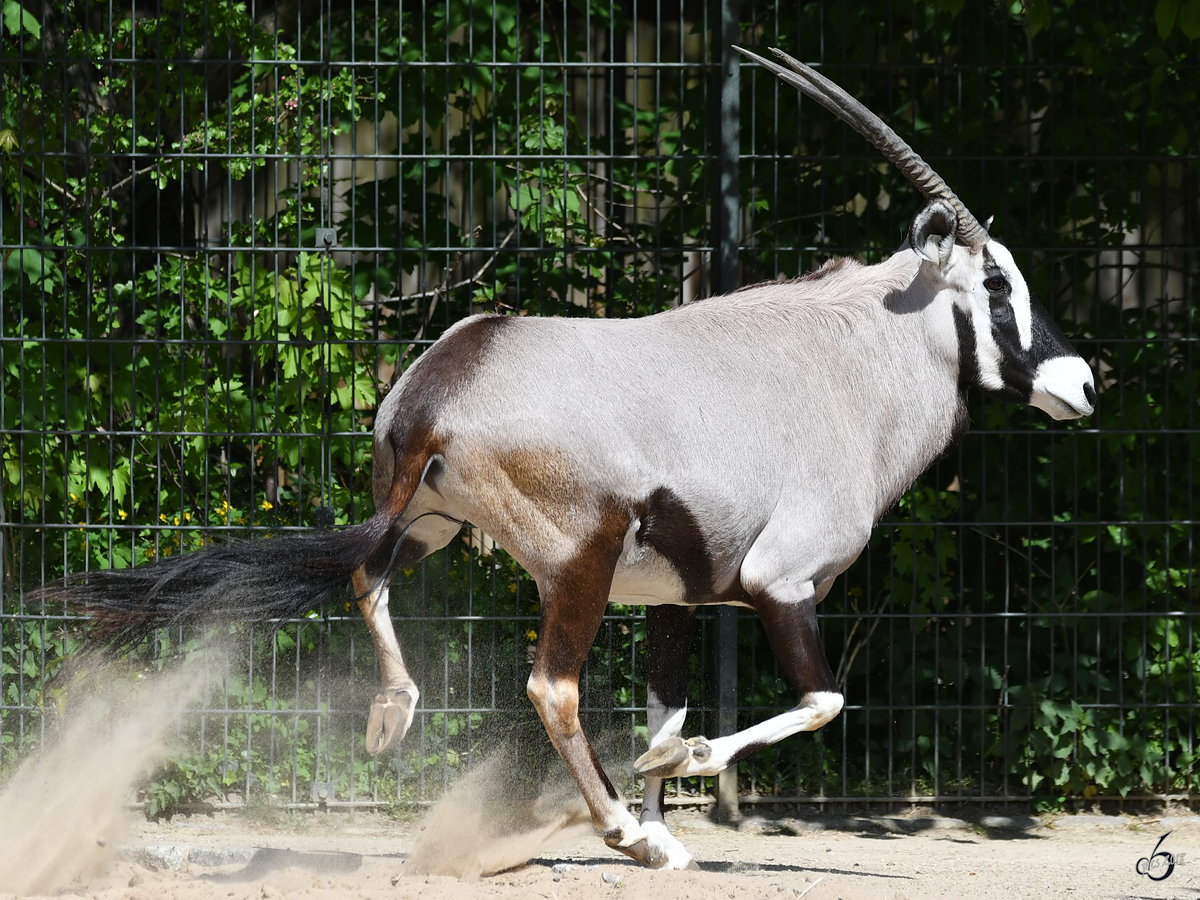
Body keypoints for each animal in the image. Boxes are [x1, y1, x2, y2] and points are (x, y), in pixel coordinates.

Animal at [46, 49, 1099, 873]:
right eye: (995, 283)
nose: (1083, 384)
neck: (853, 357)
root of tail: (444, 380)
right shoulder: (781, 582)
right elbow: (820, 700)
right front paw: (667, 787)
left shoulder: (684, 595)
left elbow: (671, 706)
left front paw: (662, 788)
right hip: (577, 561)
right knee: (551, 685)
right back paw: (628, 835)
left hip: (432, 523)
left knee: (363, 576)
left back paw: (397, 715)